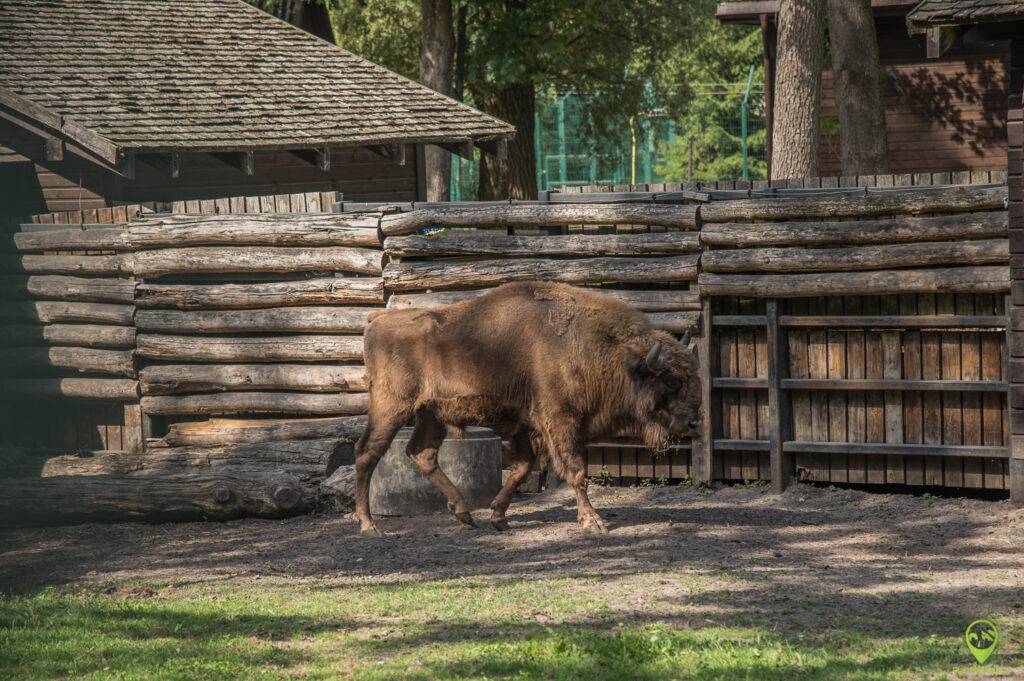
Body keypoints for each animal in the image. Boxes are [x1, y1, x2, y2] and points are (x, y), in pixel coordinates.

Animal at [356, 278, 700, 532]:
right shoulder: (560, 422)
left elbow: (522, 468)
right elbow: (575, 470)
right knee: (367, 454)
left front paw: (499, 517)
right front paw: (593, 521)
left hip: (432, 414)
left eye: (693, 376)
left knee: (422, 454)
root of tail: (377, 319)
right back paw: (369, 525)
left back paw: (464, 513)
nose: (693, 422)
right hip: (391, 407)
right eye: (670, 381)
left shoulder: (524, 425)